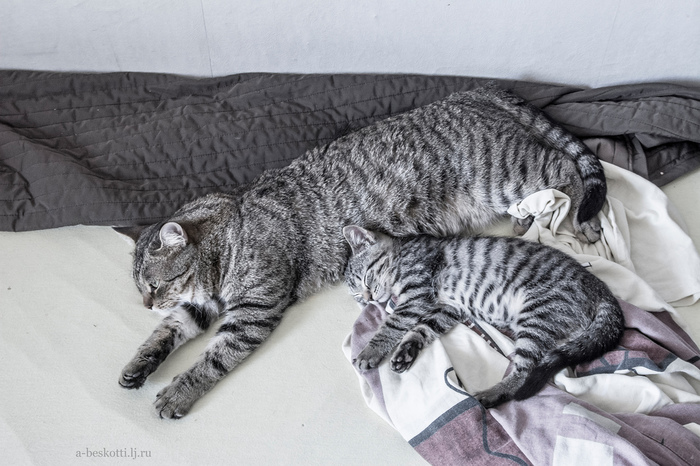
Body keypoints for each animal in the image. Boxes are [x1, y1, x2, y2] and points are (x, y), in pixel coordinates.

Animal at [342, 225, 625, 407]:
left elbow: (390, 326)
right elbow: (422, 329)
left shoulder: (416, 295)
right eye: (357, 297)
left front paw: (369, 352)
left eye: (366, 278)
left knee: (523, 371)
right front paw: (406, 351)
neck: (403, 253)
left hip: (538, 315)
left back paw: (491, 395)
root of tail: (602, 290)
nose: (368, 299)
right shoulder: (448, 308)